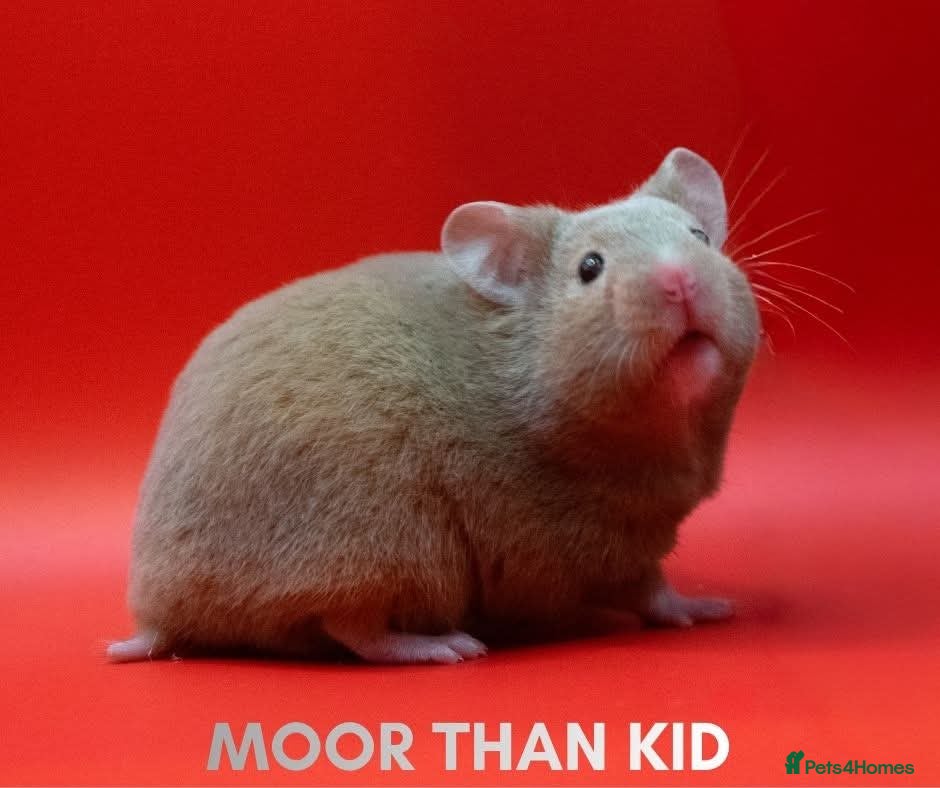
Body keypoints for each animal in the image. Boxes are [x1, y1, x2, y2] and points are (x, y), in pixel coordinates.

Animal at [108, 148, 760, 664]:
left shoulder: (630, 546)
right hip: (384, 543)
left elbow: (657, 591)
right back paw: (445, 646)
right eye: (589, 268)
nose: (681, 280)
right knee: (355, 628)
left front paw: (710, 608)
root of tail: (158, 613)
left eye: (699, 238)